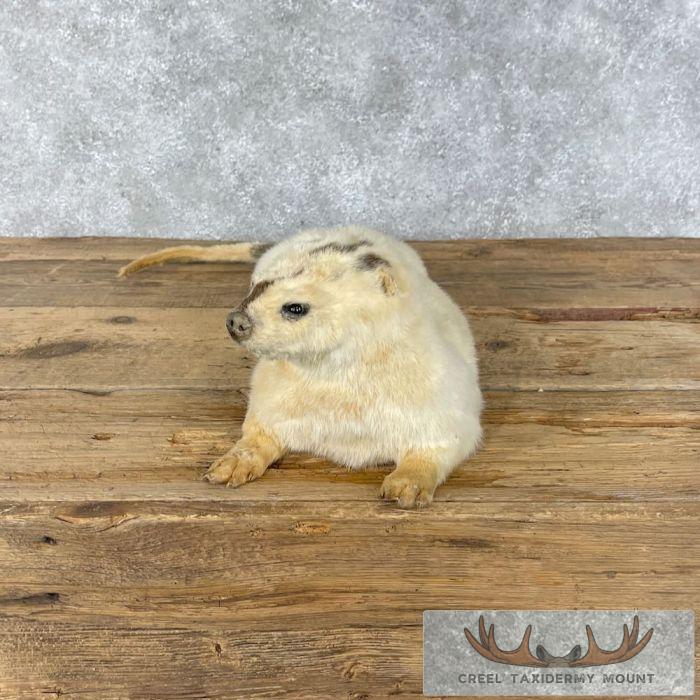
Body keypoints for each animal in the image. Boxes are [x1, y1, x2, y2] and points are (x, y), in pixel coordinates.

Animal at [119, 227, 483, 508]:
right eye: (256, 286)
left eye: (295, 307)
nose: (236, 320)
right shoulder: (270, 394)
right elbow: (258, 431)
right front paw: (231, 465)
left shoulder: (442, 395)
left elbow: (442, 445)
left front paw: (406, 487)